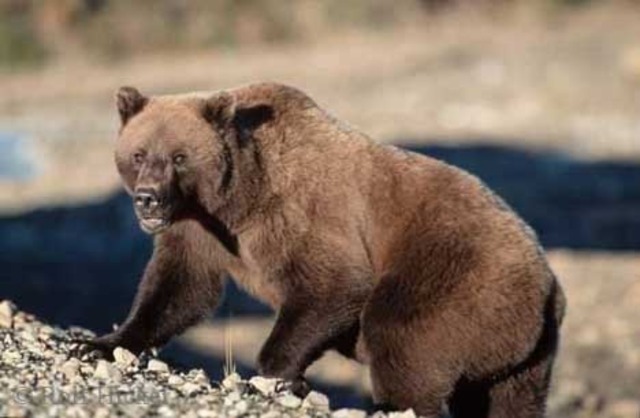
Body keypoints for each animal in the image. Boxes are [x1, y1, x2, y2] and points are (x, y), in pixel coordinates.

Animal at [82, 82, 565, 417]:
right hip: (525, 358)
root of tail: (548, 285)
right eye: (139, 153)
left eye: (180, 157)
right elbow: (177, 289)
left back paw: (391, 404)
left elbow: (334, 285)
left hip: (454, 278)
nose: (147, 199)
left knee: (400, 337)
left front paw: (280, 378)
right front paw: (98, 343)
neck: (234, 199)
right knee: (509, 399)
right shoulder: (201, 233)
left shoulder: (298, 215)